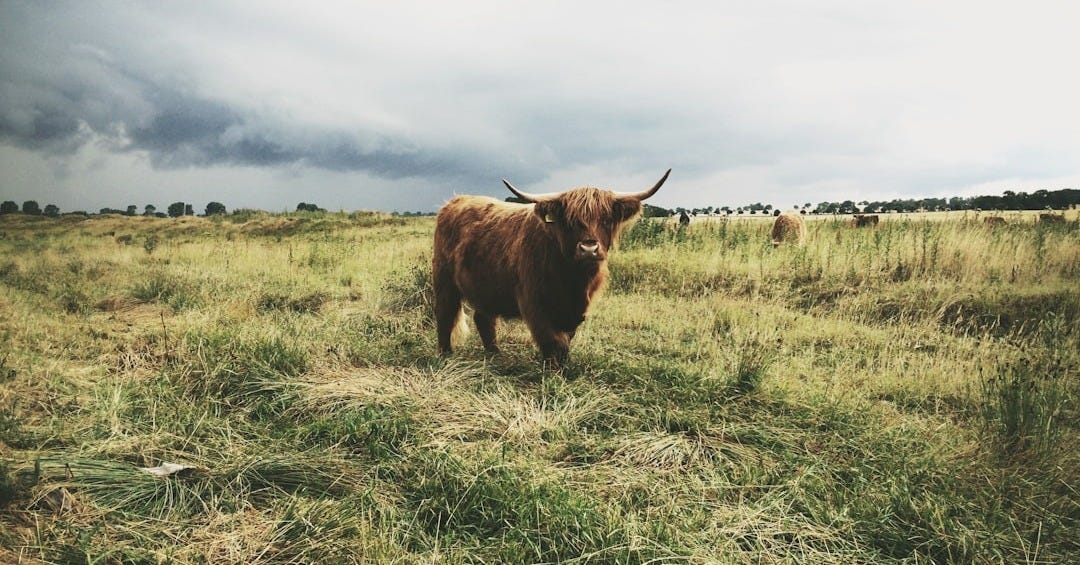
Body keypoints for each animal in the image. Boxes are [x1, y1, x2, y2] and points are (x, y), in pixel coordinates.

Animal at [427, 168, 665, 371]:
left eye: (606, 219)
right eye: (569, 220)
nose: (589, 249)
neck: (573, 280)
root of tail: (455, 201)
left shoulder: (576, 310)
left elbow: (566, 339)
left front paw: (562, 366)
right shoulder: (534, 302)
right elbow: (552, 340)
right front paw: (552, 371)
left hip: (486, 285)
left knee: (484, 318)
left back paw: (495, 354)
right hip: (444, 278)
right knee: (445, 312)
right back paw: (445, 355)